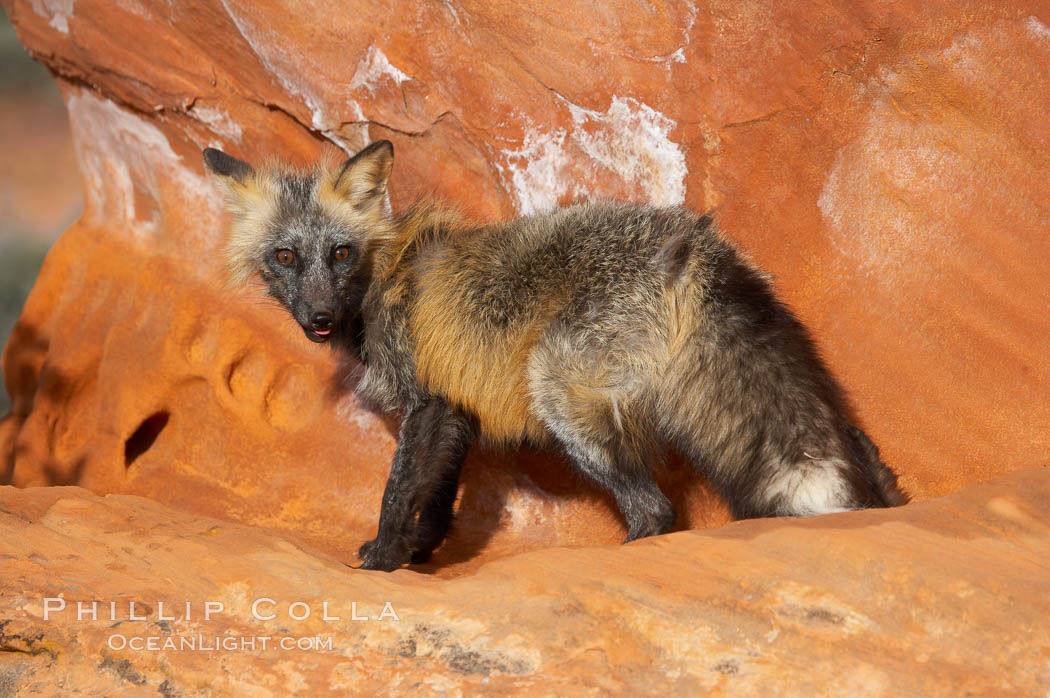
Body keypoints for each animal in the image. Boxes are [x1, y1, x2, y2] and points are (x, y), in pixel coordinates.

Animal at [204, 138, 911, 570]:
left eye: (340, 253)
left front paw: (383, 557)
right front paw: (420, 553)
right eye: (285, 256)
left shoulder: (427, 400)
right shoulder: (456, 411)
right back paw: (886, 496)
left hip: (557, 394)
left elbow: (399, 489)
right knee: (856, 441)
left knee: (657, 508)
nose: (318, 320)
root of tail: (689, 243)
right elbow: (437, 499)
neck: (382, 277)